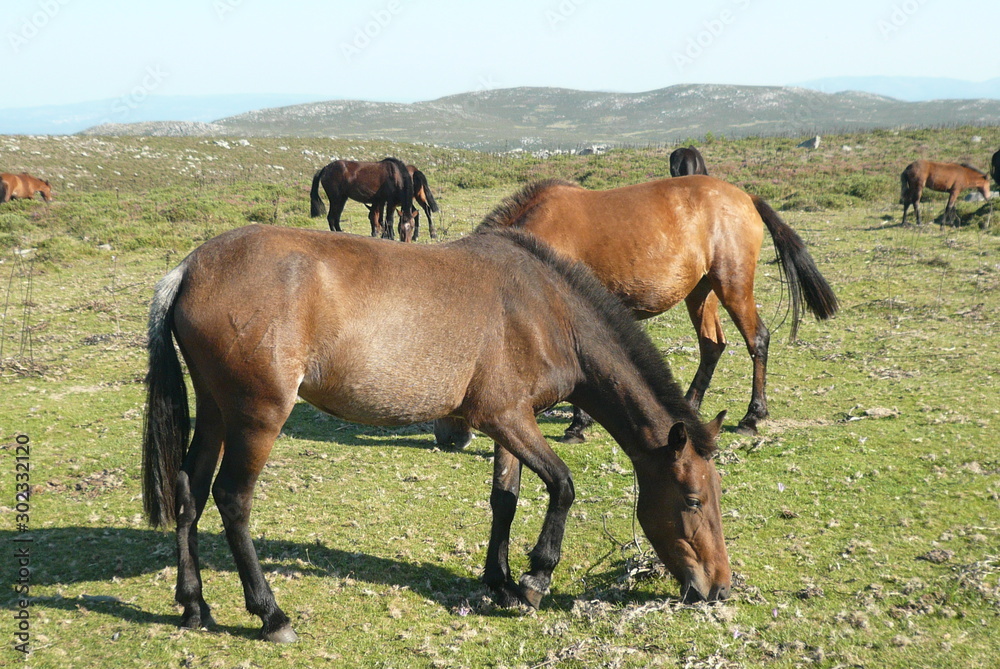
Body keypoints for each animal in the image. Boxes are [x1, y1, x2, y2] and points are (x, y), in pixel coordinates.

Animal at [143, 224, 732, 642]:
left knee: (190, 491)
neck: (546, 310)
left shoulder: (508, 422)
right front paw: (535, 580)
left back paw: (193, 605)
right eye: (693, 500)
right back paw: (270, 615)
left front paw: (499, 582)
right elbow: (562, 485)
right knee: (231, 499)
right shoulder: (507, 418)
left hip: (215, 412)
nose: (719, 589)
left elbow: (506, 498)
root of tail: (189, 270)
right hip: (257, 417)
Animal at [435, 176, 837, 445]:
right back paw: (688, 407)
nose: (448, 437)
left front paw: (578, 425)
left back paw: (753, 416)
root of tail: (748, 198)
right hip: (700, 292)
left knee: (758, 339)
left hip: (731, 285)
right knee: (712, 345)